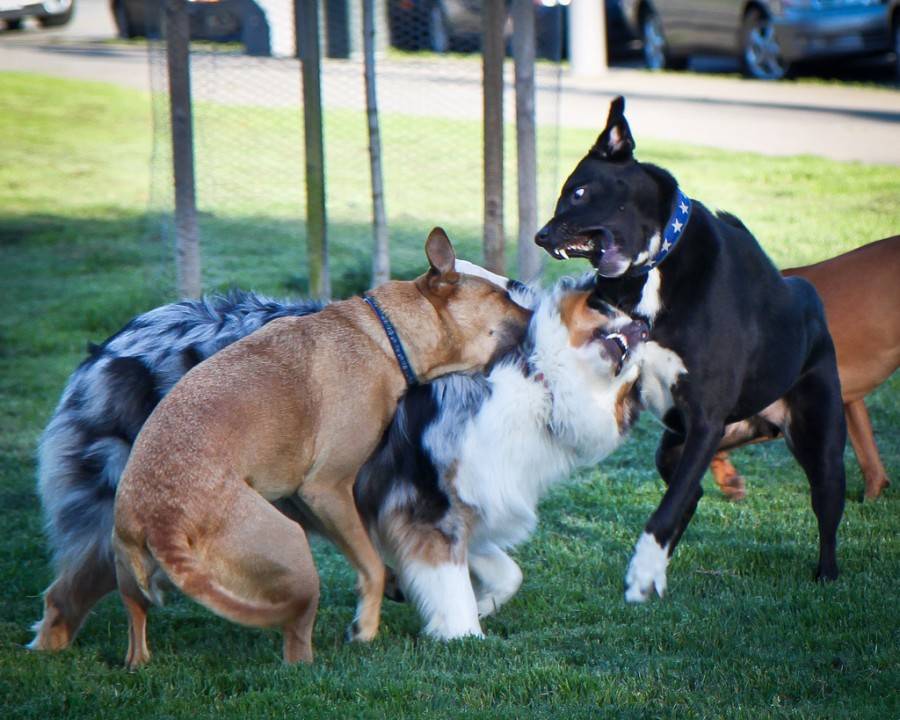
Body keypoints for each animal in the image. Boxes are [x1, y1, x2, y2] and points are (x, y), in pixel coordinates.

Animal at [112, 228, 536, 668]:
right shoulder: (328, 490)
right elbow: (371, 564)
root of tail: (162, 525)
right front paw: (365, 626)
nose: (543, 313)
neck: (386, 336)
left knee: (136, 630)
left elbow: (372, 555)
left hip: (128, 573)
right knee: (296, 642)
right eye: (502, 296)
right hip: (291, 547)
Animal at [536, 95, 848, 600]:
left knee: (823, 507)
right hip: (678, 445)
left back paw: (827, 575)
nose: (541, 236)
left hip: (819, 446)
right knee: (692, 491)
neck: (656, 268)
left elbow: (665, 509)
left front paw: (643, 568)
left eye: (578, 192)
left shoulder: (703, 422)